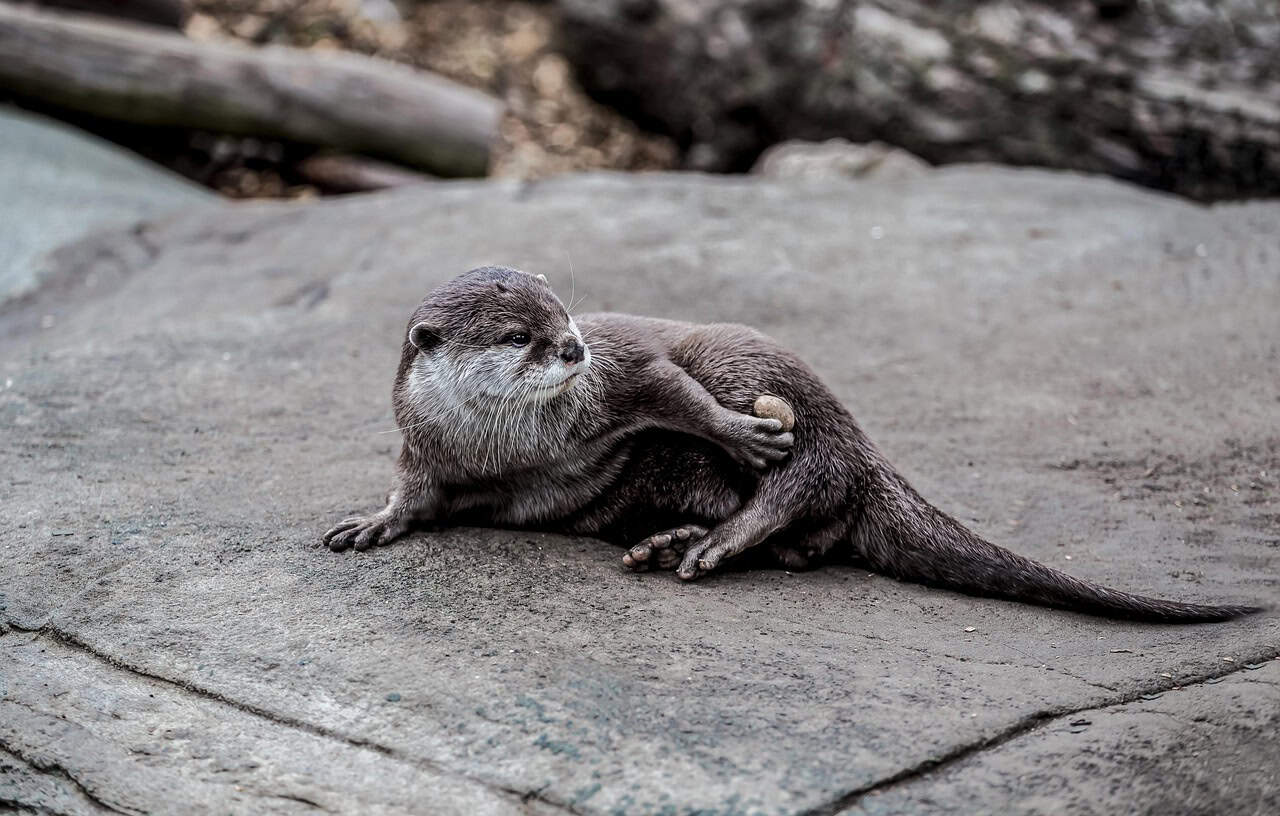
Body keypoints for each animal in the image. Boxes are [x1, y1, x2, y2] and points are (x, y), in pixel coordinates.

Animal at [325, 266, 1262, 622]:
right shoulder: (426, 447)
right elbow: (413, 494)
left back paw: (718, 534)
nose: (572, 350)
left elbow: (667, 382)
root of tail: (870, 444)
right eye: (520, 335)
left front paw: (738, 430)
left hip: (760, 370)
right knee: (811, 542)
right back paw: (678, 540)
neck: (506, 445)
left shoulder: (622, 376)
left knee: (812, 474)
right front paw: (373, 522)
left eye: (567, 317)